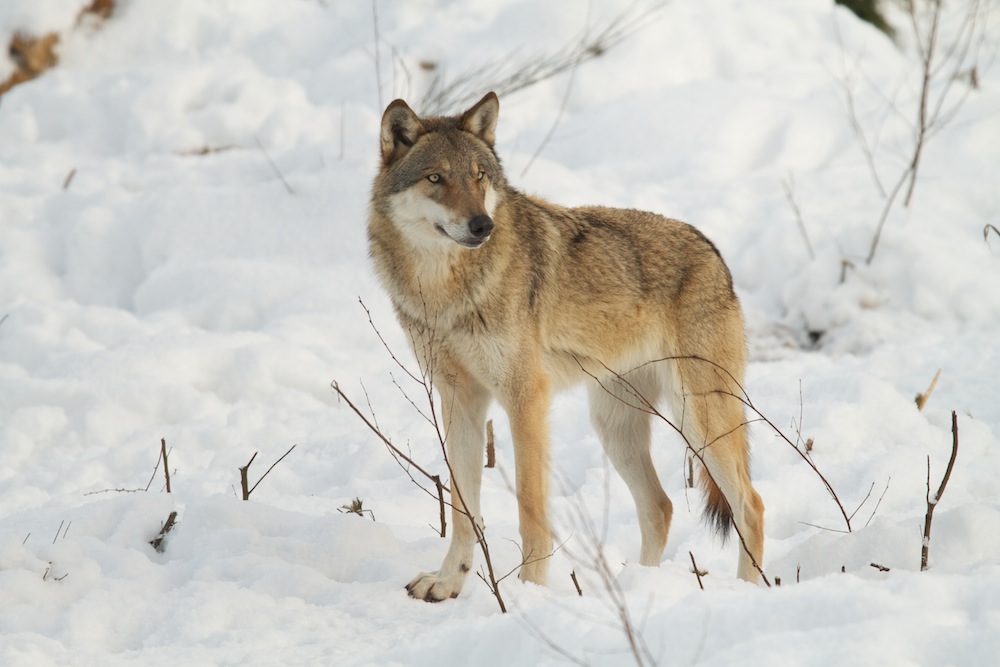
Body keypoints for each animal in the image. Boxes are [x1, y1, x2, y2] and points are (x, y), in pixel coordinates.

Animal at [368, 92, 764, 600]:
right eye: (436, 178)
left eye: (479, 177)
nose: (482, 226)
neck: (446, 289)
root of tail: (713, 250)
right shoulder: (460, 400)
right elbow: (463, 511)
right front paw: (448, 583)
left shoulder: (526, 398)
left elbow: (530, 511)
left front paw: (529, 593)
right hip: (615, 427)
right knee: (660, 507)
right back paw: (639, 587)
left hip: (698, 420)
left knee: (750, 505)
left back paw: (749, 592)